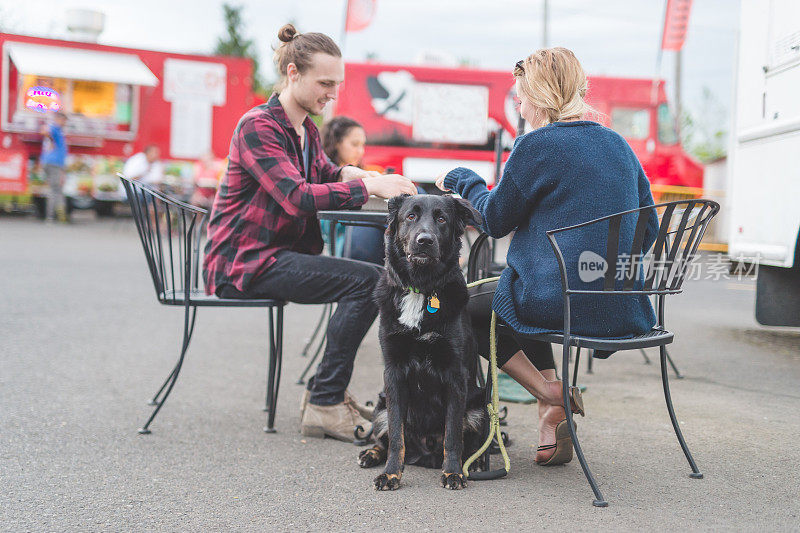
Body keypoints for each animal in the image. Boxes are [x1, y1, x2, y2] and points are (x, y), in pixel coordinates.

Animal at [360, 193, 484, 488]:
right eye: (411, 216)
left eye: (441, 218)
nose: (424, 240)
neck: (421, 288)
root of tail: (425, 452)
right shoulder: (393, 373)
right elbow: (396, 435)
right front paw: (391, 473)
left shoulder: (456, 376)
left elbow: (453, 434)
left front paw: (453, 472)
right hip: (380, 403)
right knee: (383, 437)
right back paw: (371, 454)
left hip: (479, 405)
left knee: (471, 442)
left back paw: (476, 463)